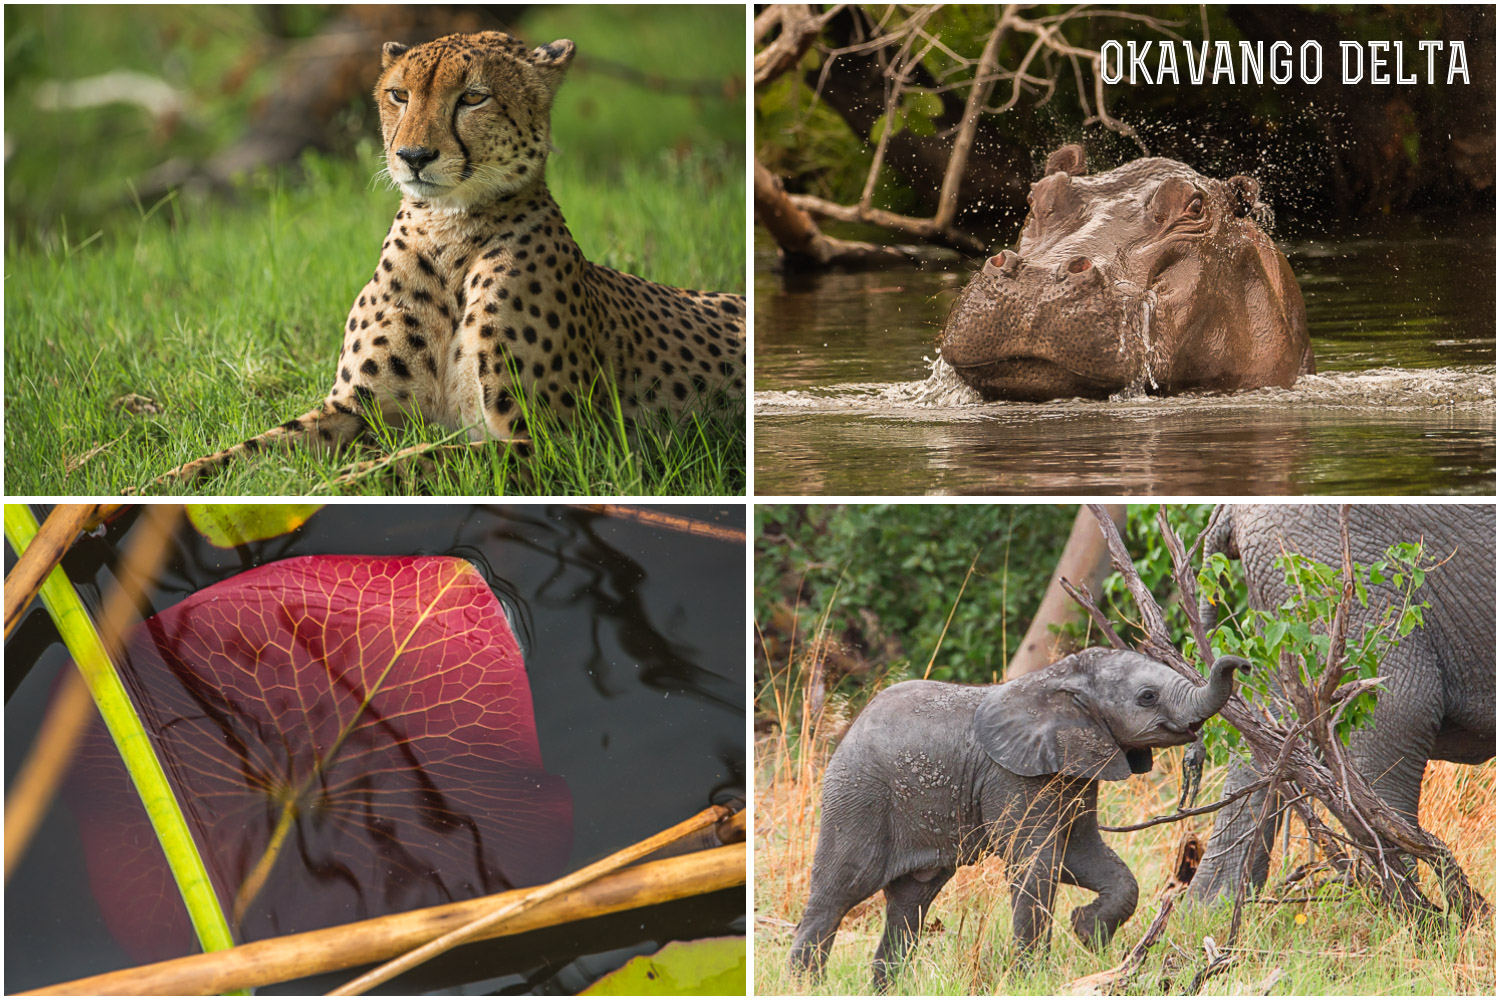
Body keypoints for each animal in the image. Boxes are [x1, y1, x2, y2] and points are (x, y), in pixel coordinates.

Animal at [152, 29, 744, 485]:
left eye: (473, 97)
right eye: (399, 94)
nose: (413, 155)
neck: (449, 231)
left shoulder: (563, 444)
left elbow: (423, 460)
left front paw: (334, 484)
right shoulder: (353, 408)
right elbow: (245, 452)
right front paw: (164, 485)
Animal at [792, 644, 1248, 989]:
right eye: (1148, 696)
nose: (1242, 663)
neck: (1060, 679)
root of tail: (851, 729)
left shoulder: (1075, 769)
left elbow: (1083, 856)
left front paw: (1087, 932)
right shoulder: (1013, 777)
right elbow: (1034, 863)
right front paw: (1034, 978)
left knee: (909, 904)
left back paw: (888, 988)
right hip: (858, 797)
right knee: (839, 891)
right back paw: (807, 985)